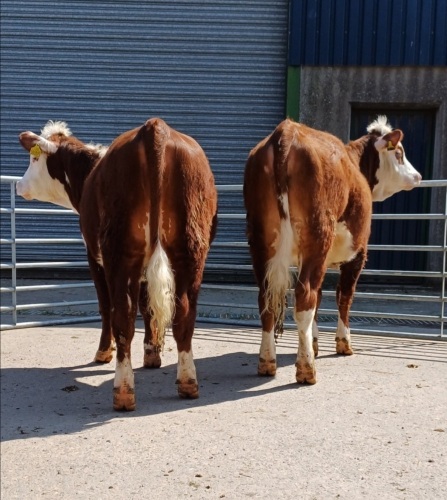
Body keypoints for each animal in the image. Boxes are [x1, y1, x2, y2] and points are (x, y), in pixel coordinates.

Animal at [17, 118, 219, 410]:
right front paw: (152, 352)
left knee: (122, 314)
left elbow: (105, 306)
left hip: (119, 251)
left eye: (34, 160)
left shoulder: (94, 256)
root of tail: (155, 126)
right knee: (184, 313)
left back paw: (123, 392)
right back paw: (187, 383)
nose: (18, 185)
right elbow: (148, 307)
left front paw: (104, 352)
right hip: (191, 250)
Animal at [245, 116, 424, 382]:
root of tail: (286, 131)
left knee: (267, 297)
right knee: (305, 295)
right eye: (399, 152)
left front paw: (314, 342)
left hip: (260, 239)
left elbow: (320, 298)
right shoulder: (358, 253)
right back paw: (306, 369)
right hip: (318, 236)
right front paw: (343, 343)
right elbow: (344, 296)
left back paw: (267, 362)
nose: (418, 175)